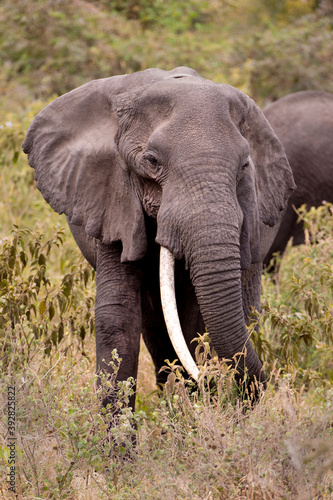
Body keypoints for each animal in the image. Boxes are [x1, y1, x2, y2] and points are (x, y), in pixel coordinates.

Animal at [22, 67, 294, 410]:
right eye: (152, 161)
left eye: (245, 165)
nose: (213, 382)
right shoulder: (112, 196)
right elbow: (118, 315)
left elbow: (198, 319)